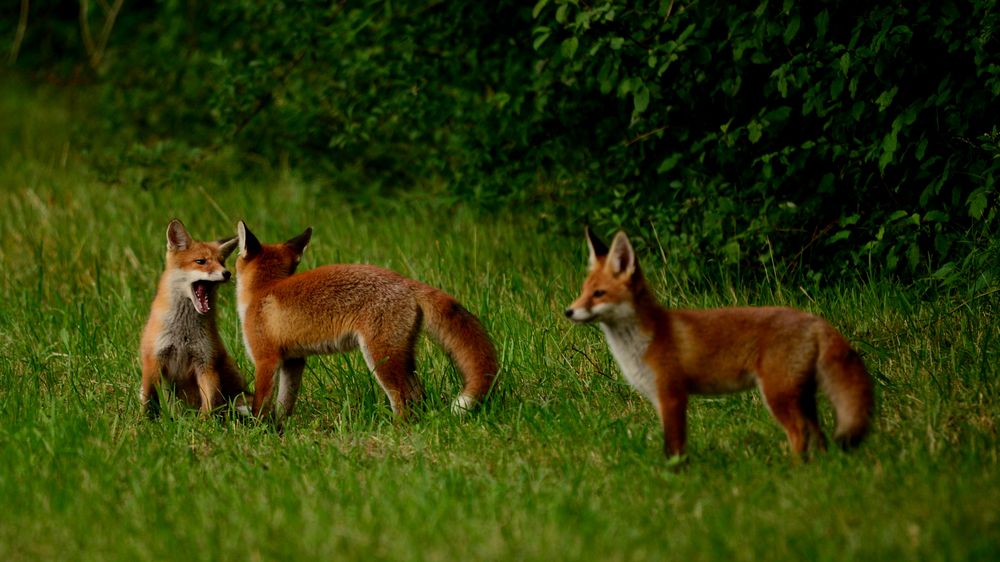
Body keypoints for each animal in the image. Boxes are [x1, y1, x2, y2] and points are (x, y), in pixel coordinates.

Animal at [139, 219, 248, 416]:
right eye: (201, 261)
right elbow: (148, 399)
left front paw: (204, 422)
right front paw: (143, 420)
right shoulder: (153, 359)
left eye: (221, 262)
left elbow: (209, 401)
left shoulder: (206, 362)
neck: (183, 331)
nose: (227, 273)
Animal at [234, 221, 500, 422]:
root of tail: (407, 282)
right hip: (402, 357)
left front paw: (260, 429)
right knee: (418, 397)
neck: (263, 290)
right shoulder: (294, 361)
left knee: (403, 400)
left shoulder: (266, 359)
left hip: (380, 357)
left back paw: (396, 430)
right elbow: (285, 402)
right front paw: (281, 428)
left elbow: (261, 402)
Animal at [568, 228, 872, 460]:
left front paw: (675, 477)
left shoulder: (672, 395)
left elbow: (674, 447)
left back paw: (794, 470)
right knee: (818, 434)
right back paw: (820, 467)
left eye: (599, 294)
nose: (568, 311)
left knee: (799, 432)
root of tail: (814, 319)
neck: (644, 341)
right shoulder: (660, 399)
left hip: (778, 394)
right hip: (801, 395)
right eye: (583, 291)